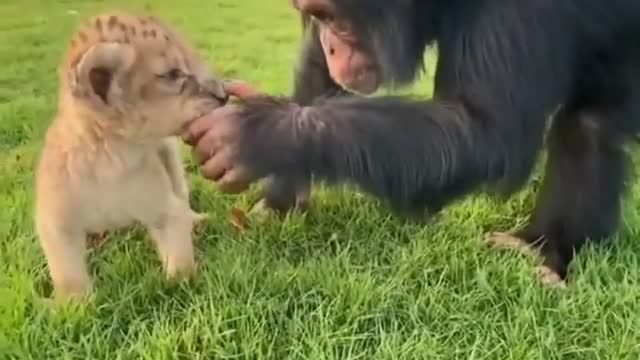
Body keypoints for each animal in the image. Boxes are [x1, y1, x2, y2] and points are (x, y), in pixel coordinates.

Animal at [181, 0, 640, 286]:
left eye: (332, 16)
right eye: (315, 16)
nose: (331, 44)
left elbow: (483, 130)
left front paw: (259, 135)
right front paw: (282, 195)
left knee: (584, 126)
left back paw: (542, 248)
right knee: (592, 125)